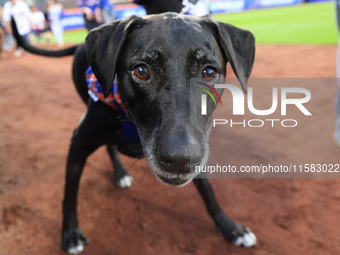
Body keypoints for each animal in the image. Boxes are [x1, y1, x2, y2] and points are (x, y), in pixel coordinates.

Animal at [11, 12, 255, 254]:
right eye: (141, 71)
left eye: (209, 72)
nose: (180, 160)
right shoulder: (77, 145)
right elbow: (69, 196)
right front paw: (70, 234)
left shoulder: (199, 145)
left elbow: (209, 193)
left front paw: (230, 228)